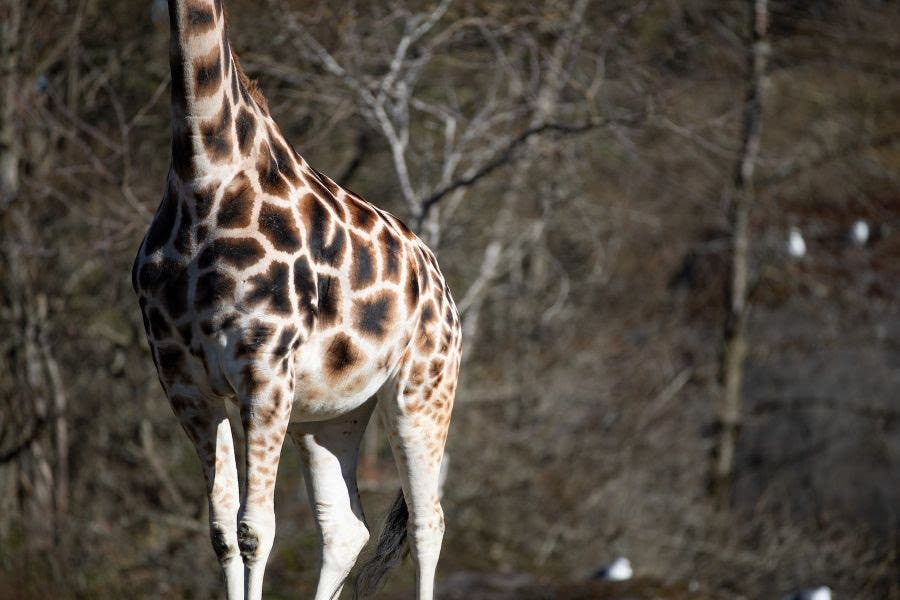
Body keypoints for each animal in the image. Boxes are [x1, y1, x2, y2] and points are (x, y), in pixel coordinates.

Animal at [131, 2, 462, 599]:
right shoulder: (183, 379)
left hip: (422, 391)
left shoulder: (263, 368)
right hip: (331, 416)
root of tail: (443, 287)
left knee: (428, 523)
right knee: (346, 527)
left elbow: (254, 530)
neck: (202, 176)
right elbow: (222, 531)